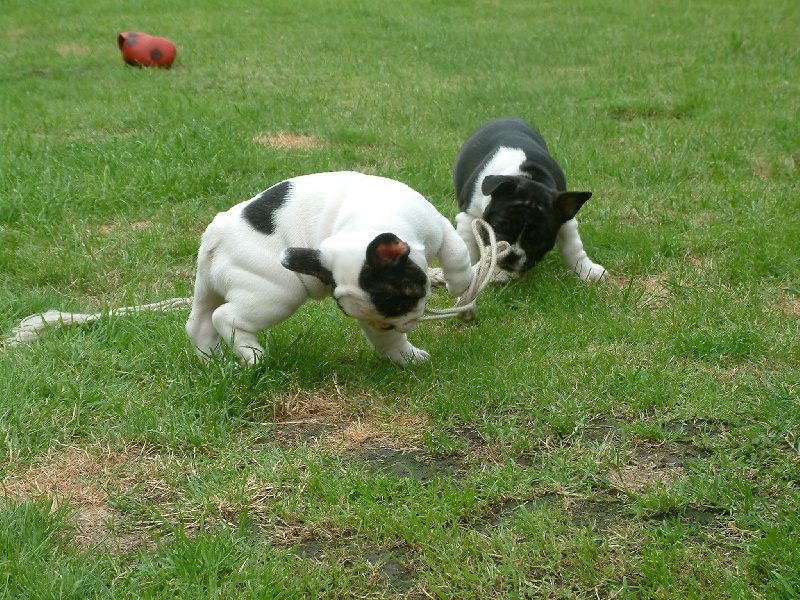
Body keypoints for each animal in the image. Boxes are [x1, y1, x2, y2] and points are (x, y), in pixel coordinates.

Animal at [185, 171, 474, 367]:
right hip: (275, 293)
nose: (390, 326)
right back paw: (253, 355)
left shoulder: (436, 225)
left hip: (208, 287)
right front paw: (461, 286)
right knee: (224, 317)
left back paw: (214, 364)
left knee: (199, 323)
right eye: (400, 303)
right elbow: (459, 254)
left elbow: (454, 250)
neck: (363, 225)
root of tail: (216, 235)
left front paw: (406, 356)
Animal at [453, 117, 606, 281]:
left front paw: (587, 270)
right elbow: (468, 248)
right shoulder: (469, 217)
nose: (512, 254)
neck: (528, 177)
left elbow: (573, 246)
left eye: (538, 240)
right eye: (496, 227)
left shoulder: (566, 220)